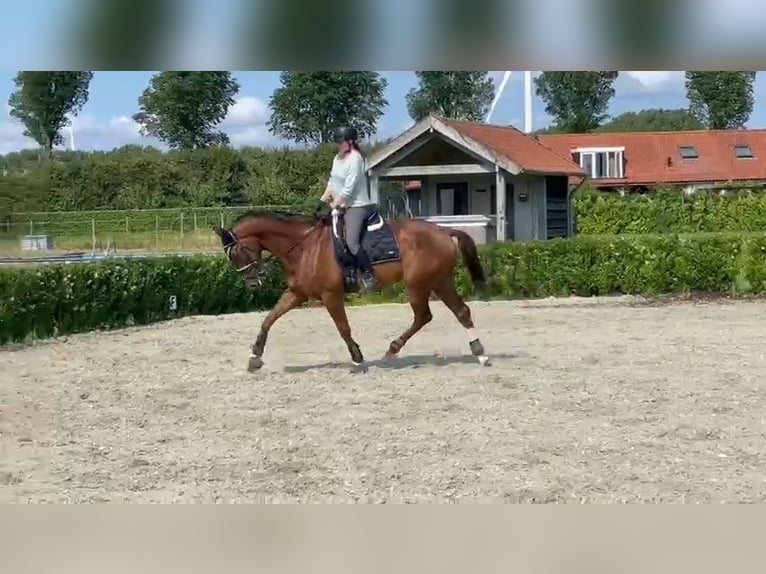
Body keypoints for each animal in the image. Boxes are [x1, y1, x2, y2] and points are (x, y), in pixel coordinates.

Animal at [215, 205, 491, 373]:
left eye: (236, 252)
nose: (252, 283)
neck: (303, 246)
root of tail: (444, 231)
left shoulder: (330, 295)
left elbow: (343, 327)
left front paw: (357, 358)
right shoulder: (297, 294)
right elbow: (268, 319)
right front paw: (255, 358)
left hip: (419, 284)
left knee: (424, 315)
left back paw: (393, 350)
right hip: (439, 281)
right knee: (459, 312)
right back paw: (479, 353)